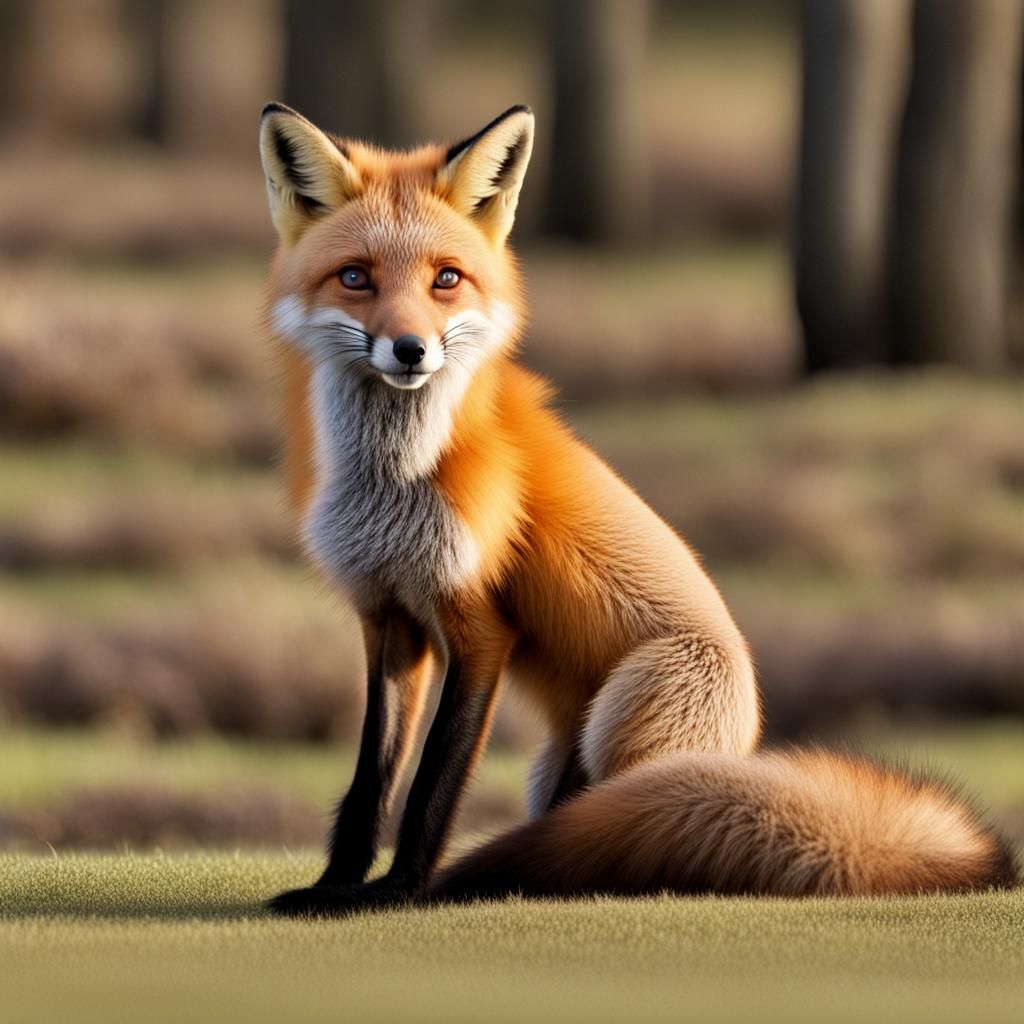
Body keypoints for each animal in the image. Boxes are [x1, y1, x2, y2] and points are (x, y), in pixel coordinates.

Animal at [258, 102, 1017, 915]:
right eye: (356, 278)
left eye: (446, 280)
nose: (409, 350)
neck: (393, 484)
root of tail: (748, 733)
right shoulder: (389, 620)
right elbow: (372, 779)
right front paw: (334, 886)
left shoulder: (479, 627)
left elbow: (433, 786)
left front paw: (397, 893)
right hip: (556, 763)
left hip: (623, 721)